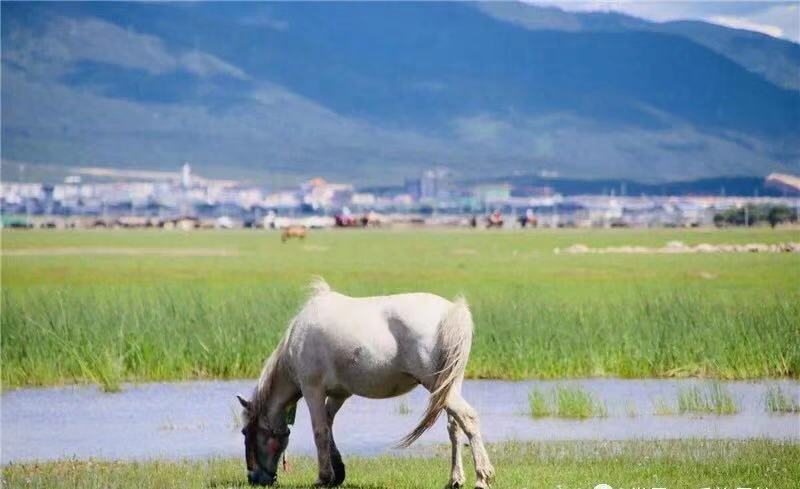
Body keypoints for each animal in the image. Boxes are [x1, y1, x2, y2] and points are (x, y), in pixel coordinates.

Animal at [236, 278, 494, 488]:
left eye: (245, 431)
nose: (254, 479)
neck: (296, 340)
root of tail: (451, 311)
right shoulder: (339, 394)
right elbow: (328, 426)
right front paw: (338, 473)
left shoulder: (313, 391)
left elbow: (320, 432)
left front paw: (323, 477)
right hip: (449, 386)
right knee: (455, 426)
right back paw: (455, 479)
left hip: (437, 386)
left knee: (468, 418)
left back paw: (483, 477)